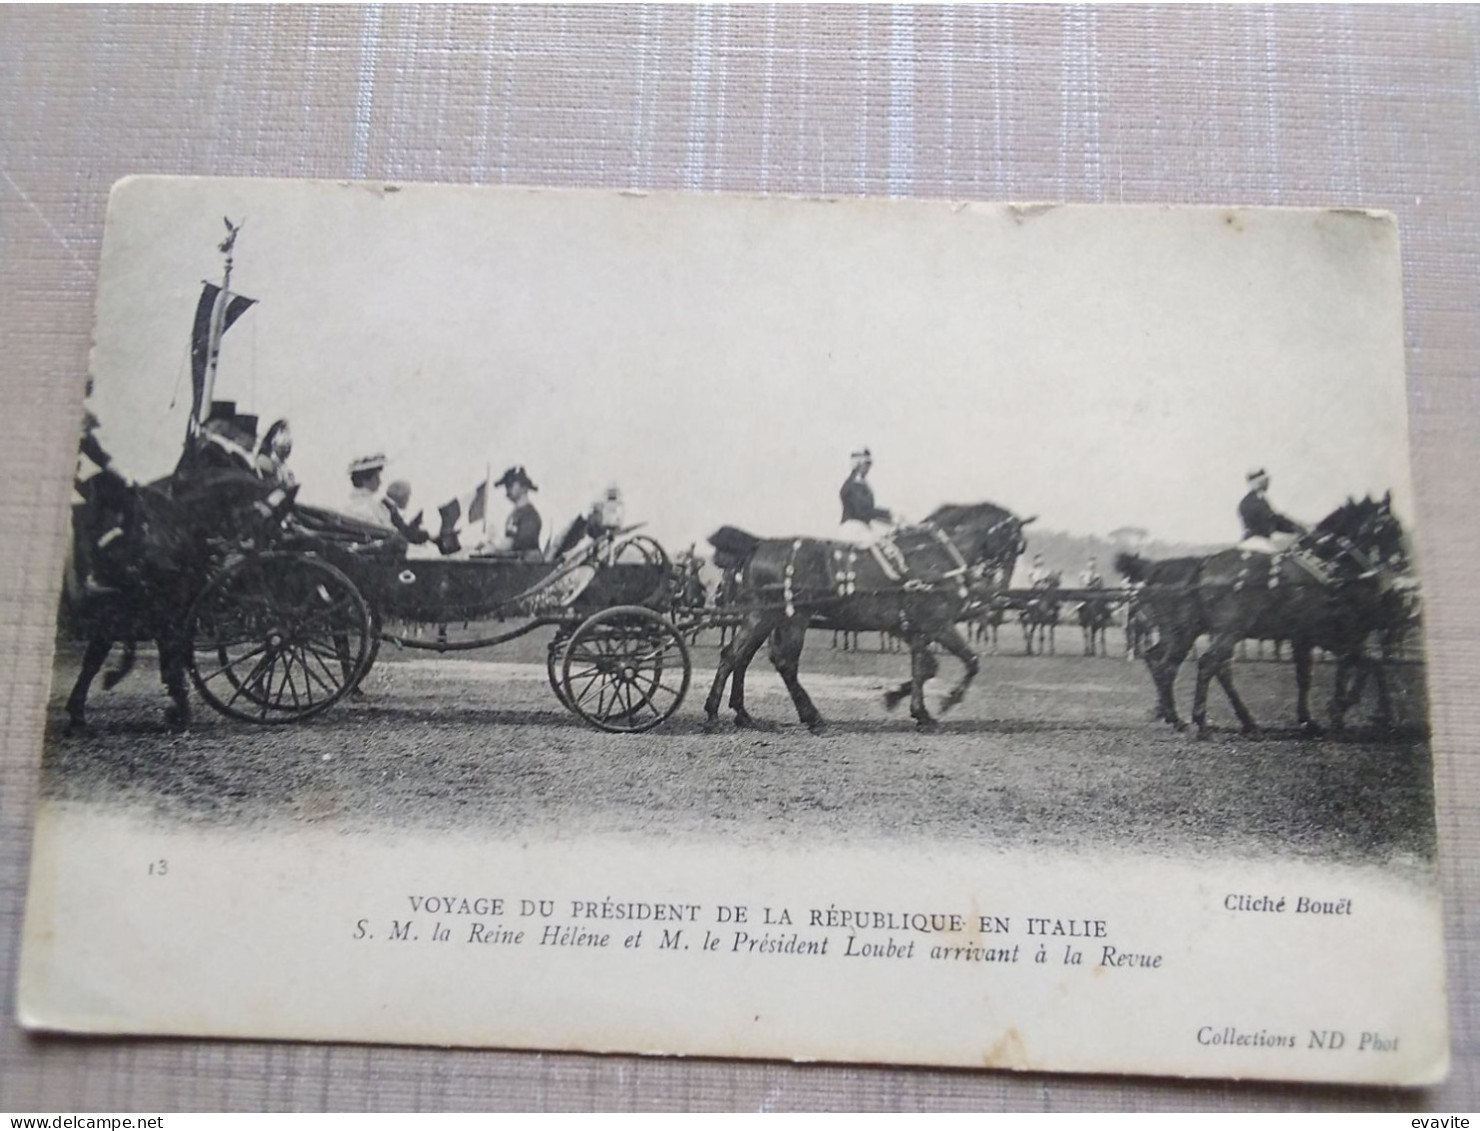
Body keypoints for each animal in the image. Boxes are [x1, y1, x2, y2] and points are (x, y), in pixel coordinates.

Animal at [704, 503, 1030, 734]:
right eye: (1015, 544)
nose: (999, 592)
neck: (936, 557)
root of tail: (758, 544)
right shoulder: (938, 624)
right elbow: (968, 662)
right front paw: (946, 700)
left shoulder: (916, 629)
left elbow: (925, 668)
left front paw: (909, 705)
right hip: (790, 618)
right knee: (782, 663)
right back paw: (810, 716)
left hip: (763, 618)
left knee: (735, 656)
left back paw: (733, 714)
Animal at [1118, 494, 1408, 743]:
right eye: (1393, 525)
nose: (1402, 561)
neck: (1329, 568)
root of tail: (1202, 566)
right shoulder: (1329, 635)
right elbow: (1368, 662)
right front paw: (1370, 712)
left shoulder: (1308, 637)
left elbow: (1309, 675)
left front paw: (1314, 719)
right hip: (1224, 632)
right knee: (1205, 664)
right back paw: (1201, 723)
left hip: (1188, 632)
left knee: (1170, 662)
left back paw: (1195, 718)